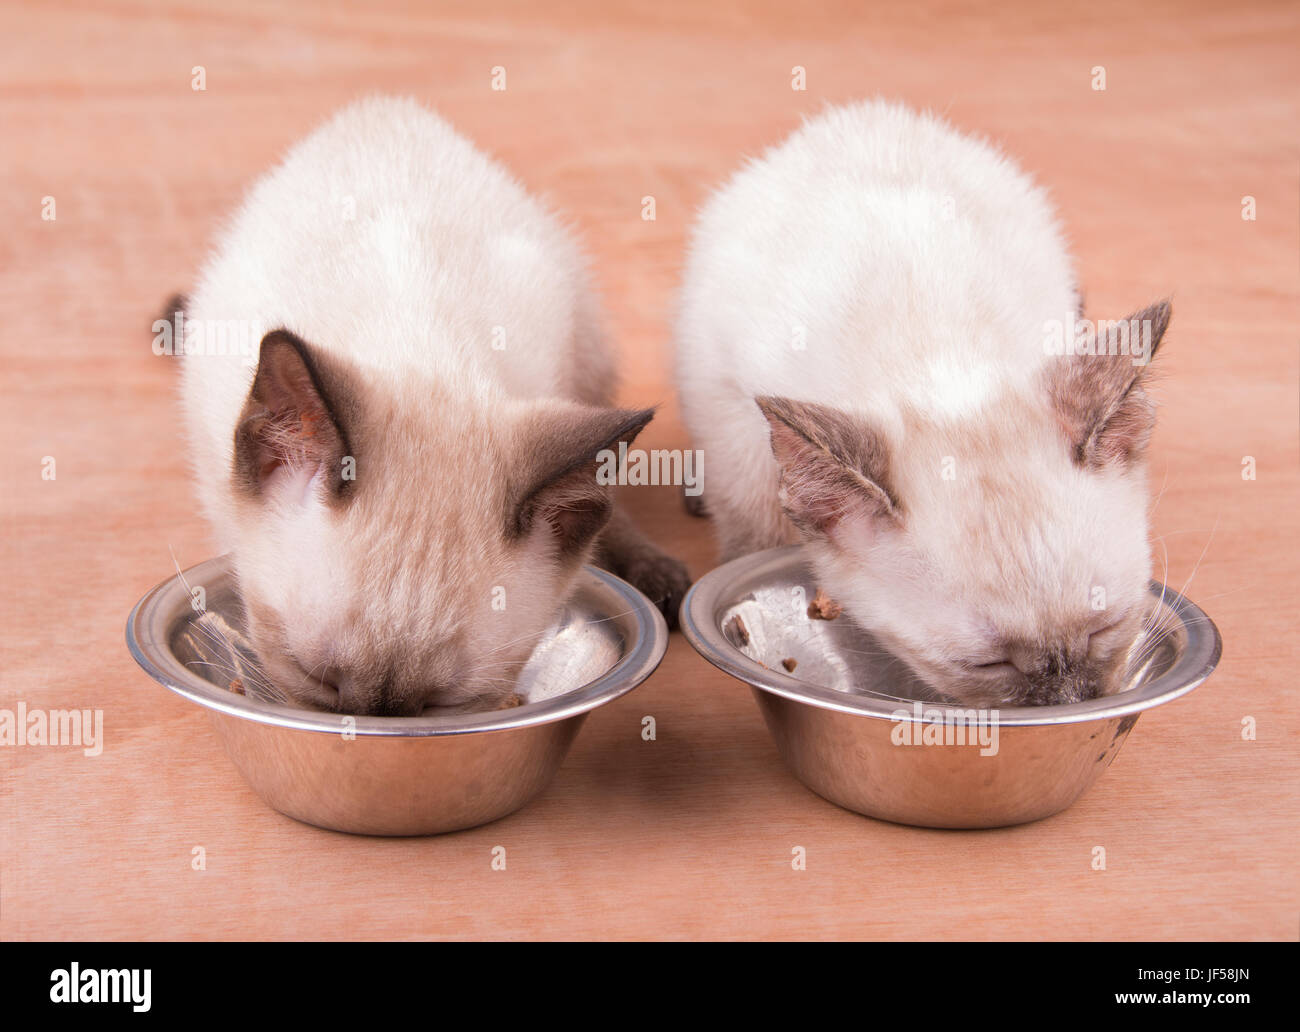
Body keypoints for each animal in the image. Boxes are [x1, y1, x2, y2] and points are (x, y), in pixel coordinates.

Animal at [170, 96, 691, 717]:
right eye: (317, 680)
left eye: (441, 704)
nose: (374, 726)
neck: (417, 342)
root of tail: (382, 106)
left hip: (585, 346)